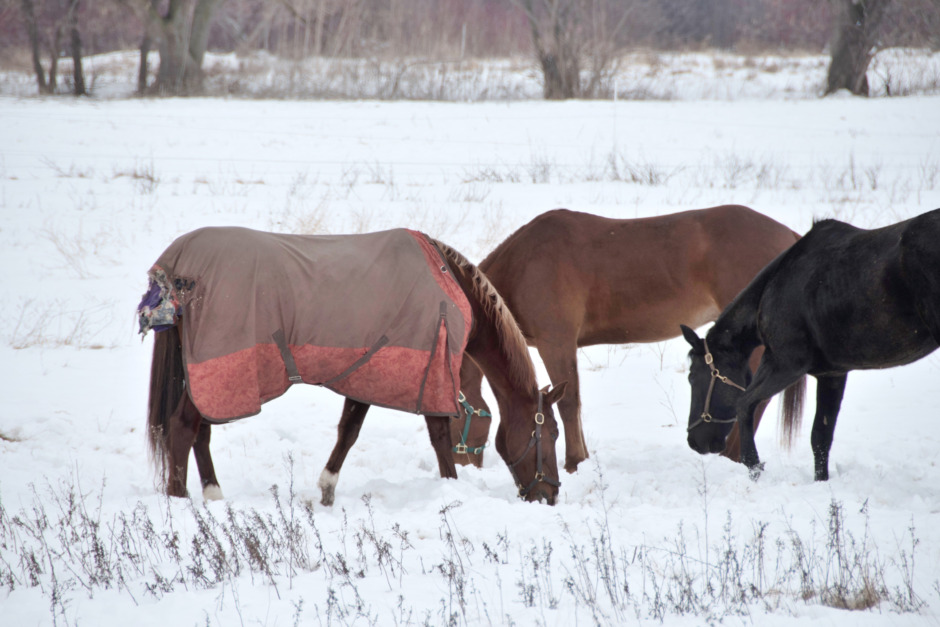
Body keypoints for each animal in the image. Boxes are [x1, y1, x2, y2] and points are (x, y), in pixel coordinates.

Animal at [140, 228, 564, 508]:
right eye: (551, 434)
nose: (550, 494)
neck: (451, 290)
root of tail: (177, 269)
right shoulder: (429, 376)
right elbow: (440, 437)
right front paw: (451, 485)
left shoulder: (365, 373)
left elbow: (348, 431)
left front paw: (327, 489)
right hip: (219, 372)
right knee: (183, 427)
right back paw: (178, 501)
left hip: (207, 378)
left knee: (199, 431)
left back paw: (213, 494)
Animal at [454, 205, 800, 472]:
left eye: (454, 415)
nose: (458, 467)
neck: (526, 263)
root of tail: (791, 238)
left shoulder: (557, 344)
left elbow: (568, 403)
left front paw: (574, 463)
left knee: (755, 399)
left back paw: (732, 457)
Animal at [684, 210, 940, 480]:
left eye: (692, 376)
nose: (694, 441)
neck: (776, 286)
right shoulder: (832, 374)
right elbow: (820, 437)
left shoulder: (784, 364)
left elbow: (744, 404)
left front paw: (754, 468)